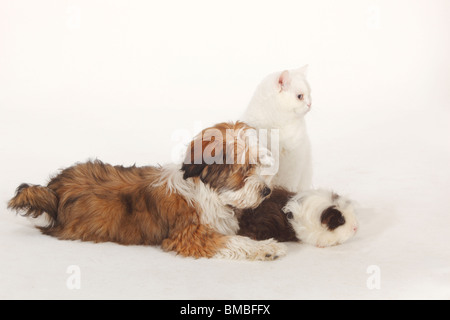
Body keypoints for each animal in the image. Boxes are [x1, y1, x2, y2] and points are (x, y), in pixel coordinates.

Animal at [7, 122, 286, 260]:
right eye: (245, 168)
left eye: (257, 164)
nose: (266, 191)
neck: (207, 191)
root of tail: (52, 192)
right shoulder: (189, 234)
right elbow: (232, 241)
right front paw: (267, 248)